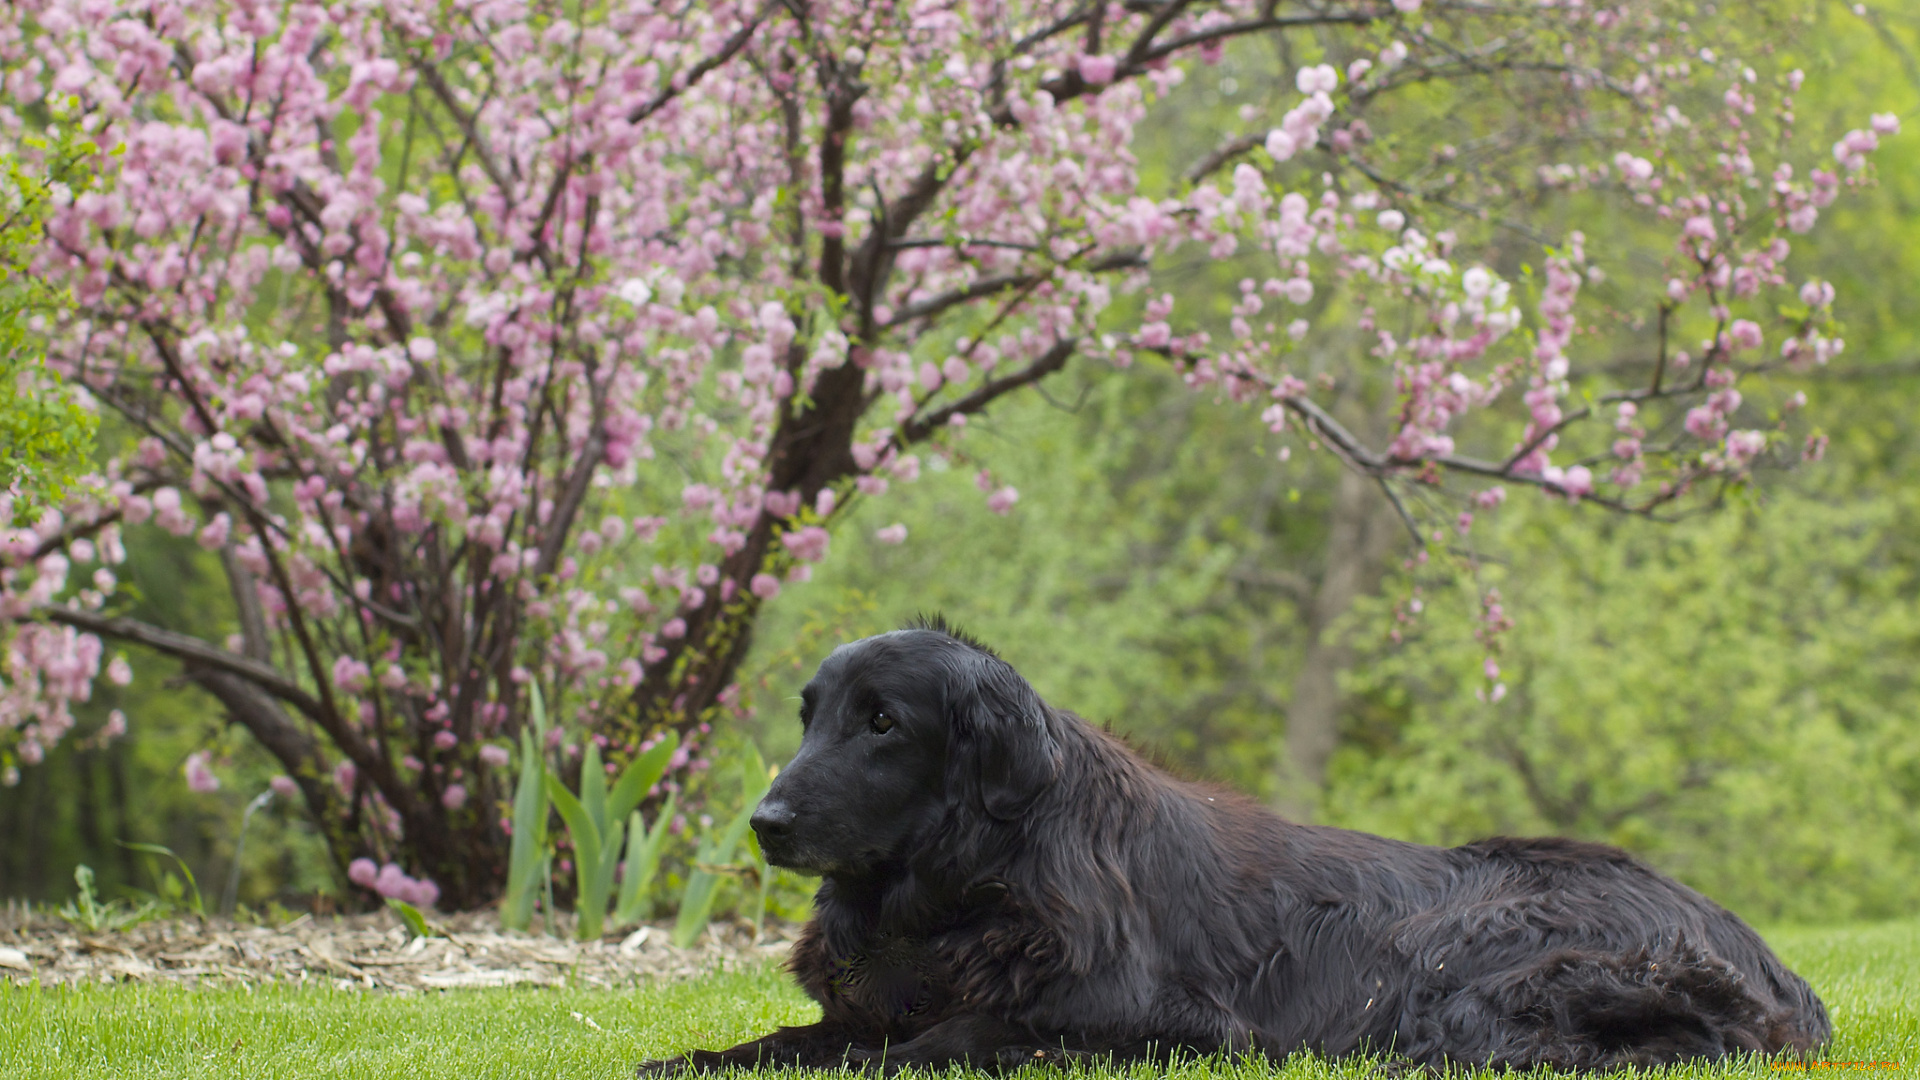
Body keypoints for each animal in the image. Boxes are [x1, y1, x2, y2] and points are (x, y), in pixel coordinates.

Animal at [645, 622, 1827, 1068]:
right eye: (810, 717)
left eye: (883, 723)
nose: (765, 823)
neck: (960, 894)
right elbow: (779, 1042)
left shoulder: (1157, 1021)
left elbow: (940, 1042)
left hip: (1464, 967)